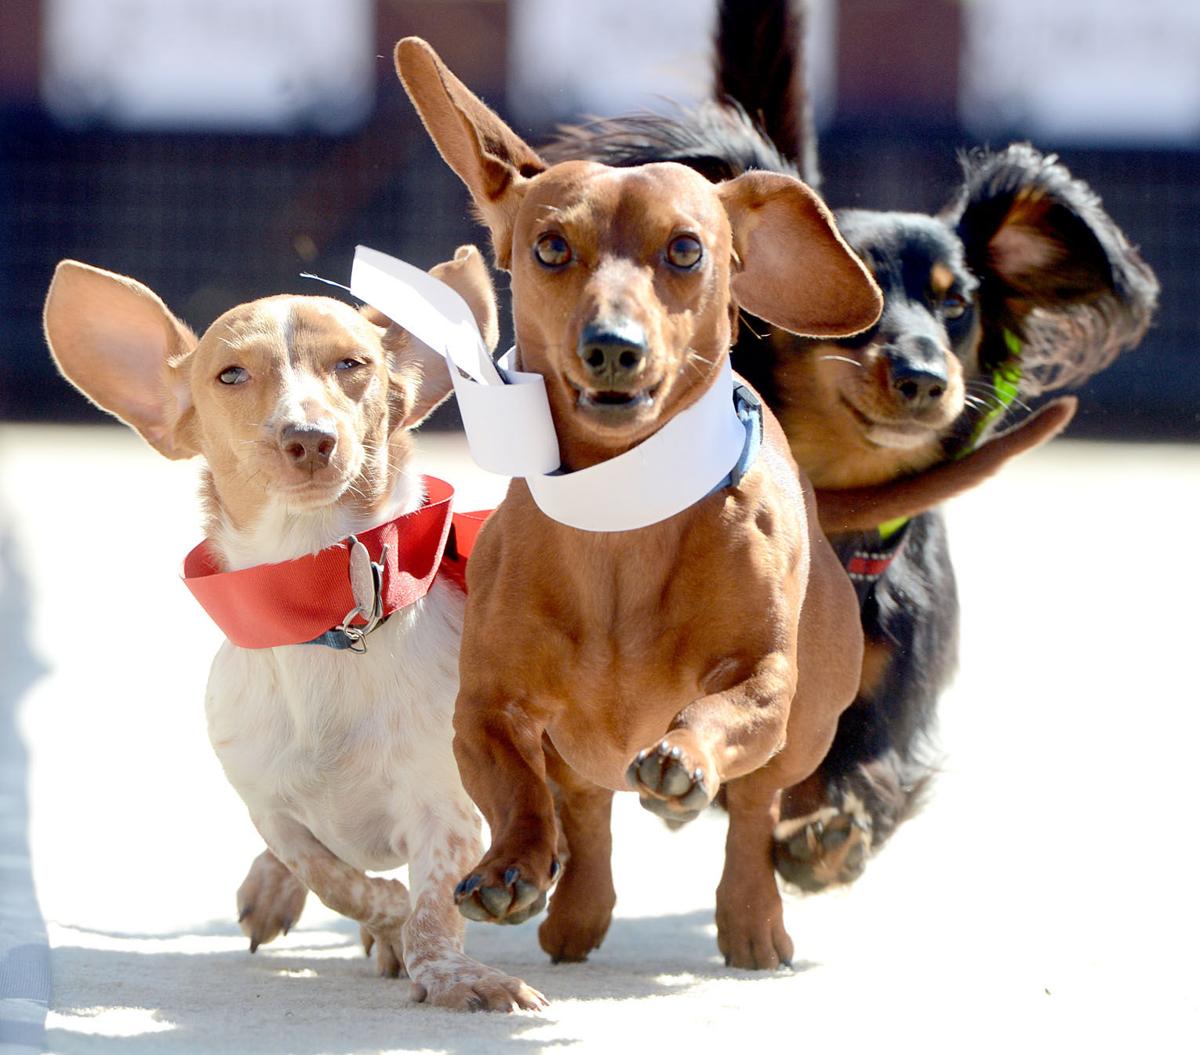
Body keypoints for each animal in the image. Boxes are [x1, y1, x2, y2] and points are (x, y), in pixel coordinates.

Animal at [44, 247, 547, 1012]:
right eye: (230, 374)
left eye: (353, 363)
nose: (309, 438)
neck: (323, 618)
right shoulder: (270, 807)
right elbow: (333, 876)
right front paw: (385, 917)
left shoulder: (447, 814)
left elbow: (434, 907)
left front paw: (451, 970)